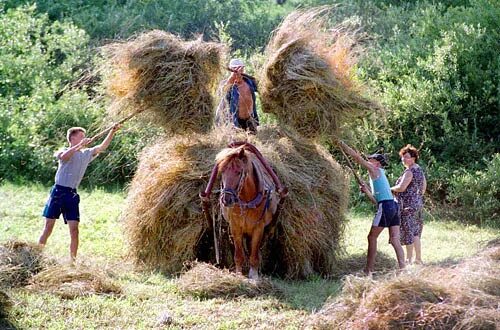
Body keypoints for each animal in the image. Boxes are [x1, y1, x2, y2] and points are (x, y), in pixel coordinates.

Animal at [217, 146, 284, 280]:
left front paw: (254, 275)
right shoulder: (235, 227)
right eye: (223, 172)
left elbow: (254, 253)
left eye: (238, 172)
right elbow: (238, 254)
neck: (247, 201)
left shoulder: (258, 228)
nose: (226, 199)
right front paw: (238, 274)